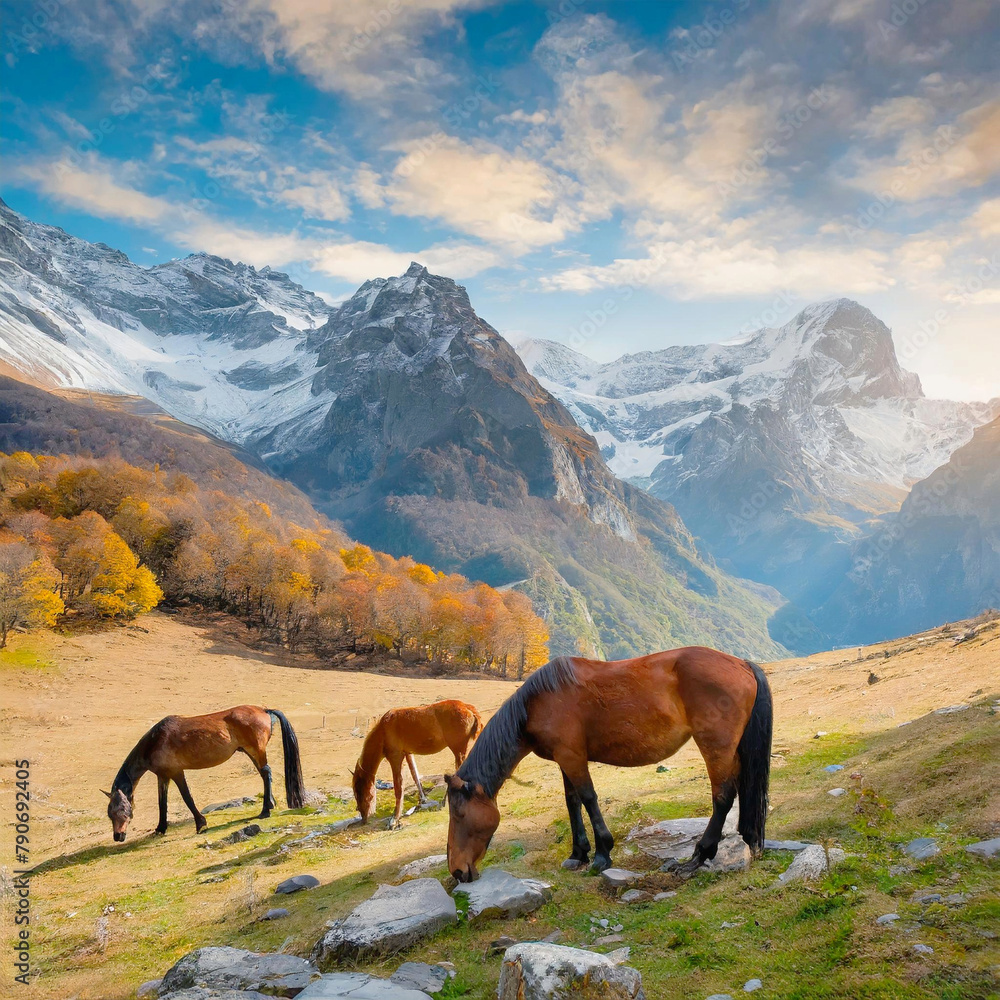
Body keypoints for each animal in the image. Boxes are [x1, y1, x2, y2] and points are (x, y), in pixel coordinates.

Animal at [103, 706, 305, 841]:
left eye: (122, 810)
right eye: (109, 813)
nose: (118, 836)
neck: (155, 741)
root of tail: (263, 710)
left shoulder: (177, 773)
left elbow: (187, 798)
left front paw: (200, 824)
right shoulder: (163, 776)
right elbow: (162, 802)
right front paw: (161, 828)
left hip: (256, 750)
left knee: (266, 773)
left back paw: (265, 811)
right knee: (264, 775)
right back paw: (269, 805)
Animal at [353, 699, 482, 828]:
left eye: (359, 793)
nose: (363, 818)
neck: (383, 729)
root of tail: (467, 707)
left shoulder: (395, 756)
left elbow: (399, 786)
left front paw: (395, 818)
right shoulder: (408, 753)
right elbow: (415, 775)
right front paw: (423, 799)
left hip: (458, 749)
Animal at [445, 648, 773, 882]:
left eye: (459, 814)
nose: (457, 872)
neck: (537, 702)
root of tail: (743, 664)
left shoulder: (573, 756)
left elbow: (588, 798)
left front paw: (602, 854)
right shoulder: (565, 759)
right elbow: (572, 801)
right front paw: (578, 853)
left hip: (715, 747)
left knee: (723, 797)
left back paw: (698, 858)